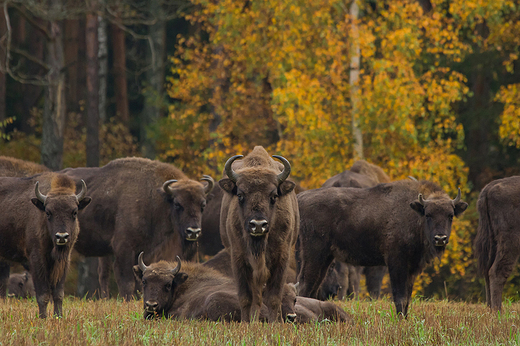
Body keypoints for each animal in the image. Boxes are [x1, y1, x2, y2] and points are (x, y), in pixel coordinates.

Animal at [0, 174, 91, 318]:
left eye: (74, 212)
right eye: (48, 212)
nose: (61, 236)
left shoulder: (63, 262)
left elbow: (58, 294)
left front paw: (58, 316)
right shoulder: (37, 260)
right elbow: (43, 294)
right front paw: (43, 317)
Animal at [62, 157, 214, 300]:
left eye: (203, 205)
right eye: (178, 204)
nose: (193, 232)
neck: (156, 199)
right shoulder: (124, 248)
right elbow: (127, 281)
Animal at [219, 147, 298, 324]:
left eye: (274, 196)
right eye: (240, 195)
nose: (258, 224)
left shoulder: (281, 259)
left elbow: (274, 297)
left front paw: (275, 323)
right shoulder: (239, 259)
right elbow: (246, 297)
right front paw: (246, 323)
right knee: (256, 296)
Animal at [296, 180, 468, 318]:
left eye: (450, 215)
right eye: (428, 214)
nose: (440, 238)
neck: (413, 215)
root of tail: (301, 198)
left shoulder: (412, 267)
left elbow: (407, 298)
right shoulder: (397, 263)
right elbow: (400, 297)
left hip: (325, 258)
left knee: (313, 287)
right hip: (314, 254)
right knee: (304, 284)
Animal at [474, 176, 520, 310]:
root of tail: (488, 188)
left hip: (493, 241)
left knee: (487, 270)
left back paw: (490, 309)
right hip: (511, 240)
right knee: (497, 271)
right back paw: (498, 311)